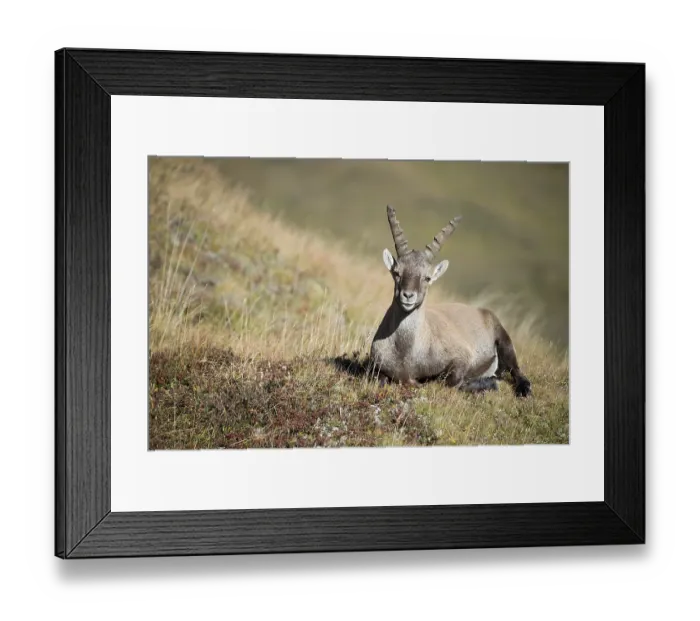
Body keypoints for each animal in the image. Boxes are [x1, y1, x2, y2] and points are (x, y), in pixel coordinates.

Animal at [370, 205, 532, 397]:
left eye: (427, 277)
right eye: (397, 273)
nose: (408, 296)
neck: (406, 354)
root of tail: (482, 311)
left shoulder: (462, 356)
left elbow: (448, 381)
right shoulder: (376, 366)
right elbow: (379, 379)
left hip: (503, 339)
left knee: (516, 370)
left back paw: (519, 388)